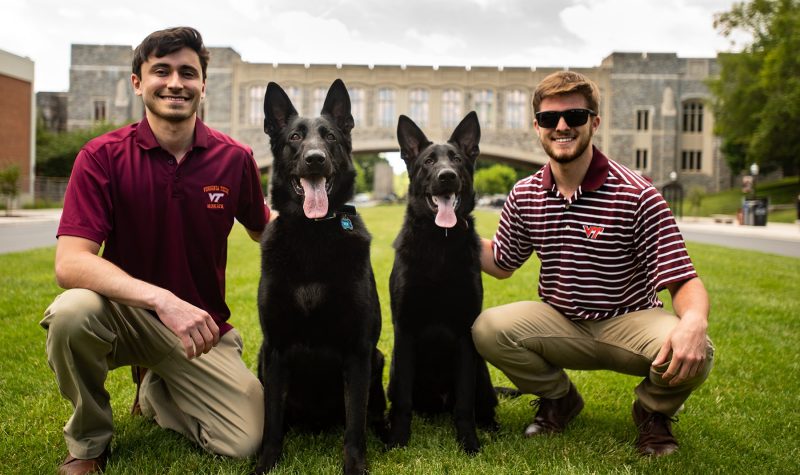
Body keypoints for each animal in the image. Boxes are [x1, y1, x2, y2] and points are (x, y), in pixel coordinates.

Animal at [253, 80, 384, 474]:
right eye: (295, 137)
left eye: (330, 138)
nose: (315, 159)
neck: (313, 234)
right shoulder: (275, 349)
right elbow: (271, 421)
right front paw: (265, 463)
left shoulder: (359, 351)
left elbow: (355, 424)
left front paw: (355, 466)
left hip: (378, 360)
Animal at [390, 111, 500, 454]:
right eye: (428, 162)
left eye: (457, 159)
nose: (447, 176)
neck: (440, 242)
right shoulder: (405, 329)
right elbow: (402, 402)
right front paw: (398, 440)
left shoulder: (466, 334)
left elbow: (464, 403)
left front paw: (469, 443)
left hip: (482, 371)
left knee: (484, 405)